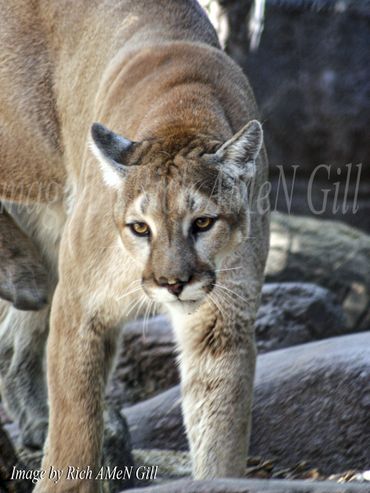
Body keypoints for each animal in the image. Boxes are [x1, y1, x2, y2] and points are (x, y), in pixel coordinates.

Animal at [0, 0, 268, 488]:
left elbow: (220, 424)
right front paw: (66, 481)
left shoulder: (222, 321)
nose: (173, 283)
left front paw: (219, 478)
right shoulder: (81, 303)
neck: (182, 112)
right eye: (140, 227)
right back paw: (19, 271)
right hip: (25, 146)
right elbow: (74, 415)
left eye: (203, 222)